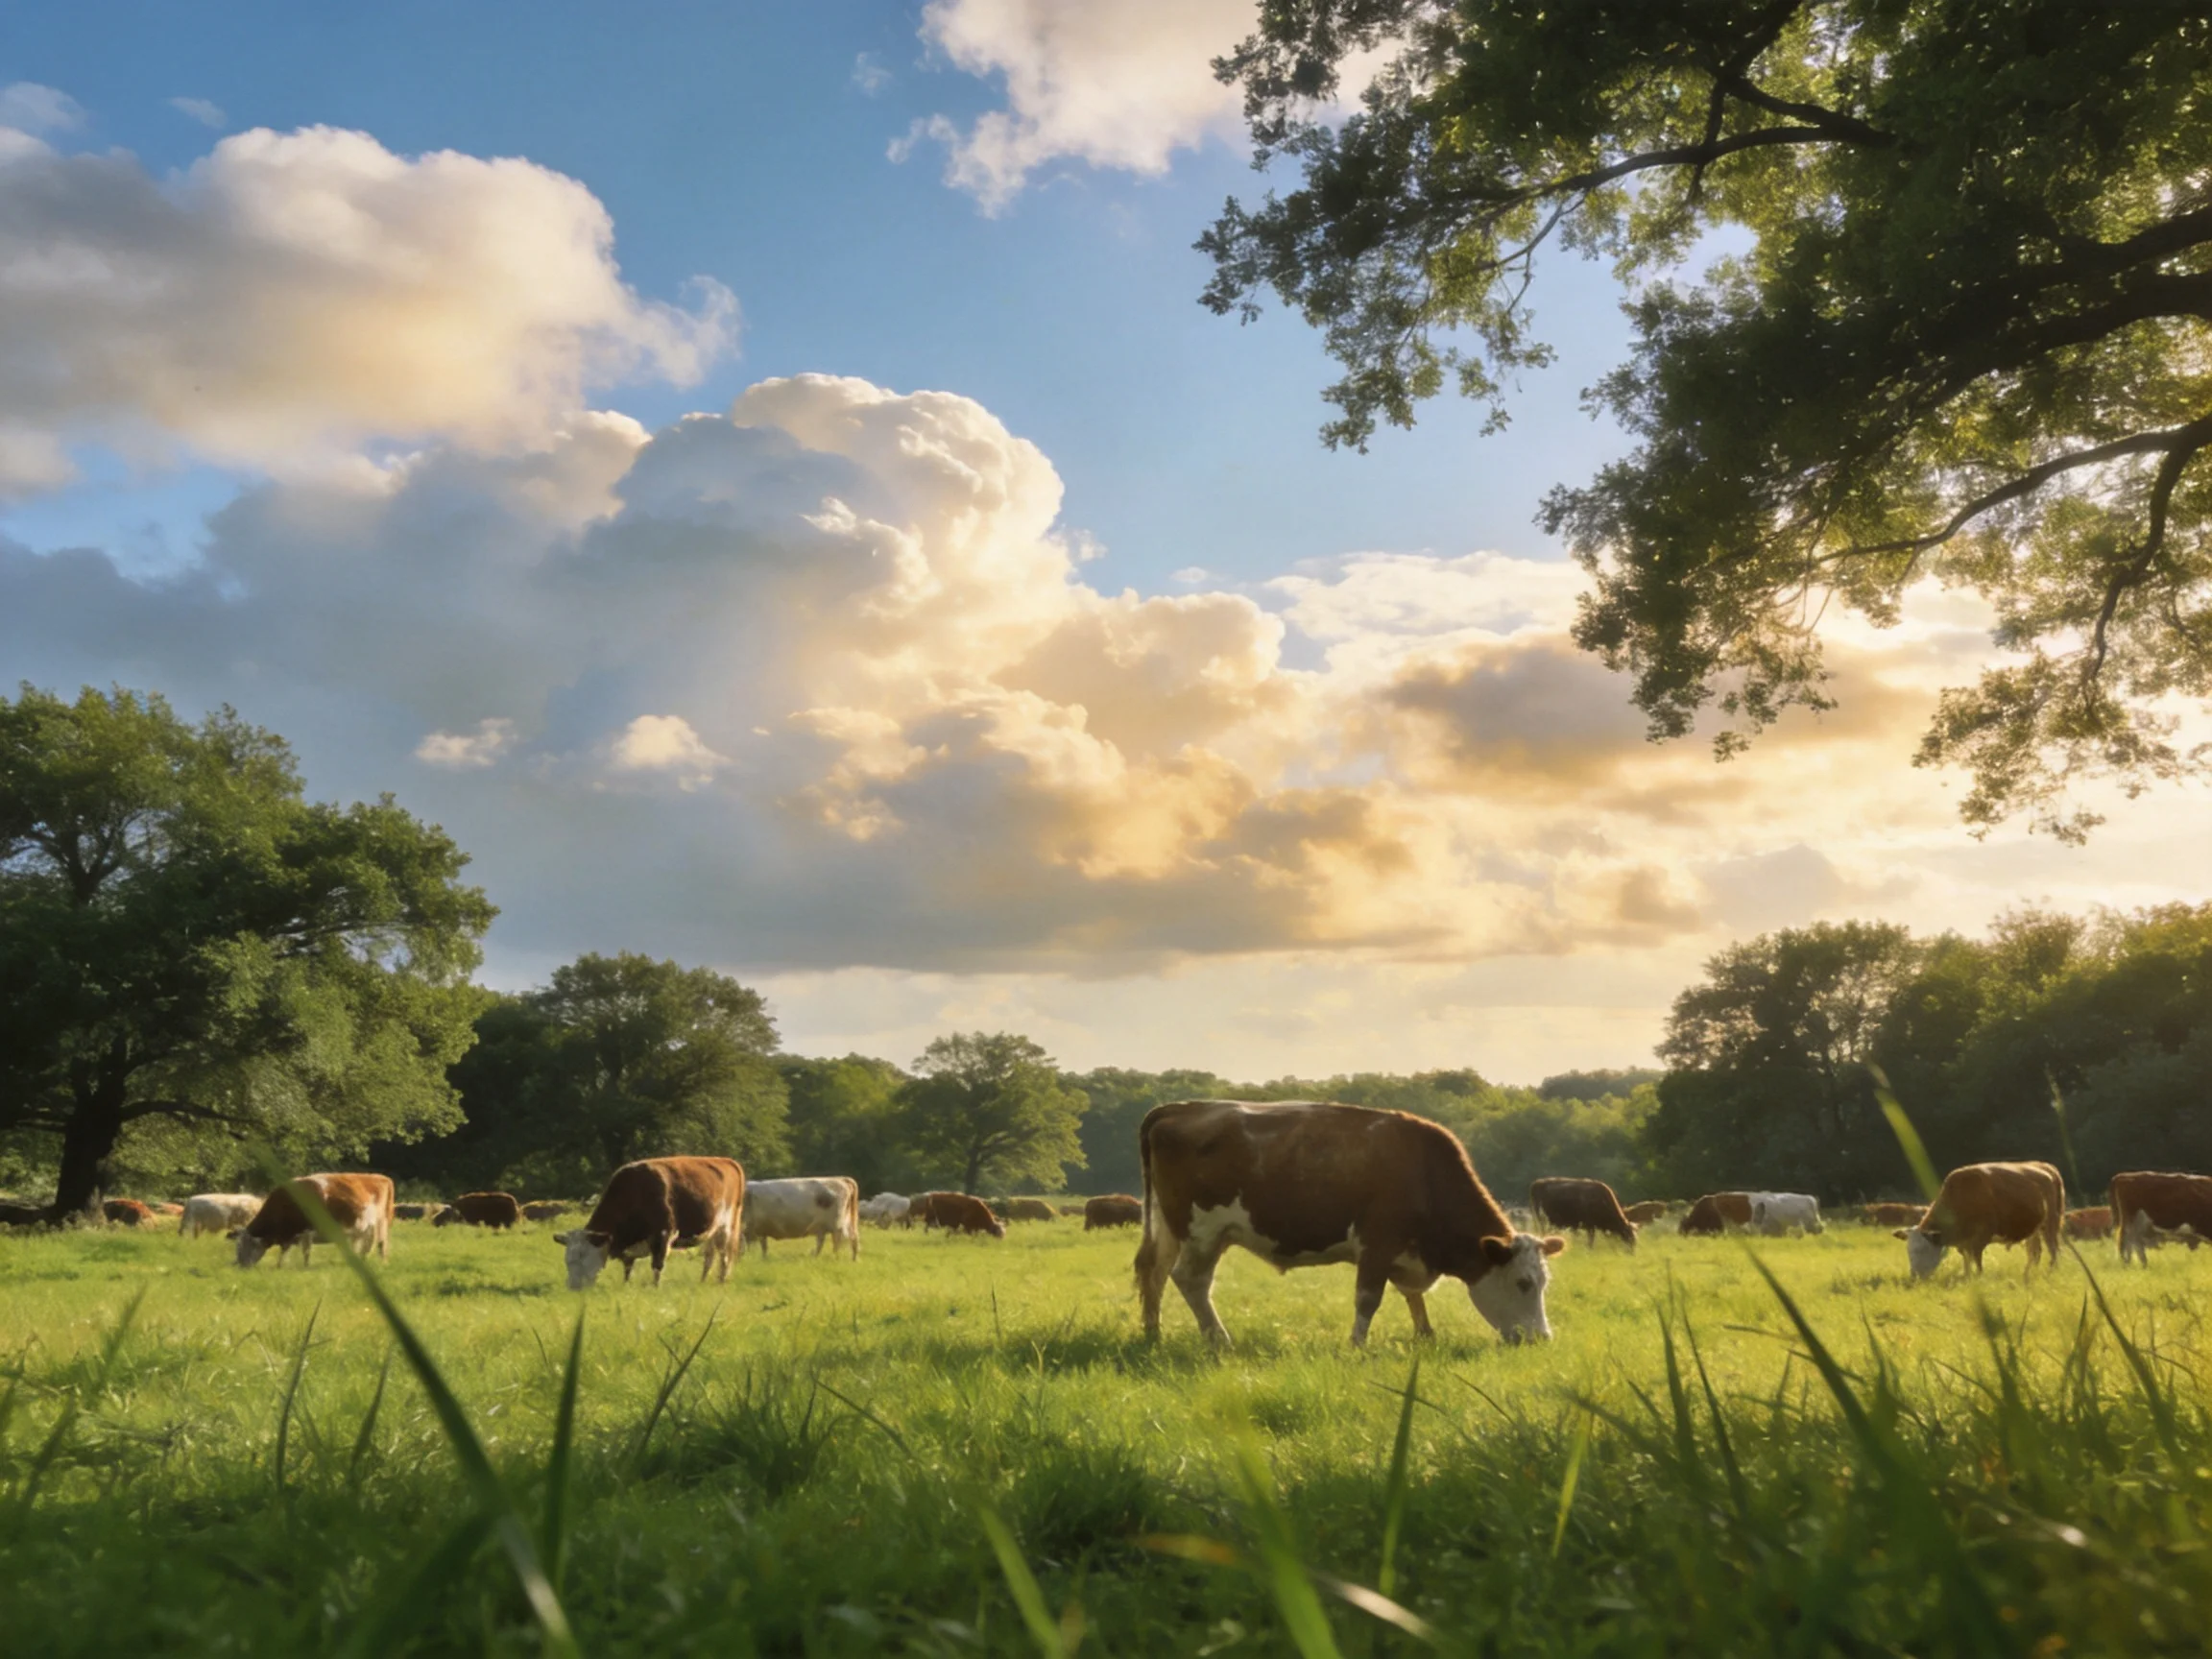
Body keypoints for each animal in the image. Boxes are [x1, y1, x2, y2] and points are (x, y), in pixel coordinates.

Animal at [235, 1174, 396, 1269]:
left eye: (245, 1246)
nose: (240, 1266)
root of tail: (381, 1177)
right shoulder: (289, 1235)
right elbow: (285, 1250)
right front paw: (279, 1265)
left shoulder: (306, 1231)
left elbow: (306, 1251)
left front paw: (305, 1267)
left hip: (378, 1224)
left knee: (377, 1244)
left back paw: (374, 1262)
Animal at [555, 1156, 744, 1290]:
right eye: (567, 1259)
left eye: (583, 1256)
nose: (573, 1286)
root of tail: (727, 1161)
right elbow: (628, 1267)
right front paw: (626, 1285)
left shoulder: (663, 1234)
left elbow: (657, 1265)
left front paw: (655, 1287)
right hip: (711, 1230)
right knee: (709, 1256)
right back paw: (703, 1281)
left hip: (726, 1228)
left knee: (724, 1257)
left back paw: (721, 1282)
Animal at [1135, 1099, 1569, 1349]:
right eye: (1524, 1283)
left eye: (1544, 1283)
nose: (1542, 1339)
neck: (1424, 1173)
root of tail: (1175, 1108)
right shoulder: (1377, 1245)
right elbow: (1368, 1299)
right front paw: (1358, 1346)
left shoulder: (1404, 1253)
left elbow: (1413, 1297)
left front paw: (1425, 1336)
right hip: (1203, 1233)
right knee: (1190, 1280)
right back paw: (1219, 1340)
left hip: (1168, 1228)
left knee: (1152, 1272)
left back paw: (1153, 1333)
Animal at [1893, 1162, 2064, 1280]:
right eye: (1908, 1250)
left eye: (1921, 1249)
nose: (1914, 1276)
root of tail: (2044, 1166)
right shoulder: (1964, 1243)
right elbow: (1967, 1261)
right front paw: (1967, 1278)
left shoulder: (1980, 1239)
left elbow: (1977, 1261)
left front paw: (1978, 1280)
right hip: (2034, 1230)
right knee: (2035, 1253)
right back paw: (2027, 1274)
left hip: (2050, 1225)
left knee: (2054, 1251)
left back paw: (2051, 1274)